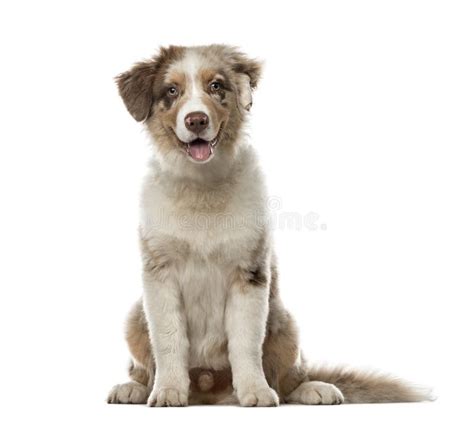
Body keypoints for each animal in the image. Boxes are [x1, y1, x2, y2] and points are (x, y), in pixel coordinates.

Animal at [107, 44, 430, 406]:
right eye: (172, 91)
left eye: (216, 86)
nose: (197, 120)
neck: (202, 186)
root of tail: (208, 389)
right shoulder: (159, 274)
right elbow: (168, 339)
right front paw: (168, 391)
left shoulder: (250, 274)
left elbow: (246, 343)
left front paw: (256, 391)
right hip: (135, 317)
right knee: (143, 365)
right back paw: (133, 388)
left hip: (284, 321)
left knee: (287, 378)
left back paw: (313, 388)